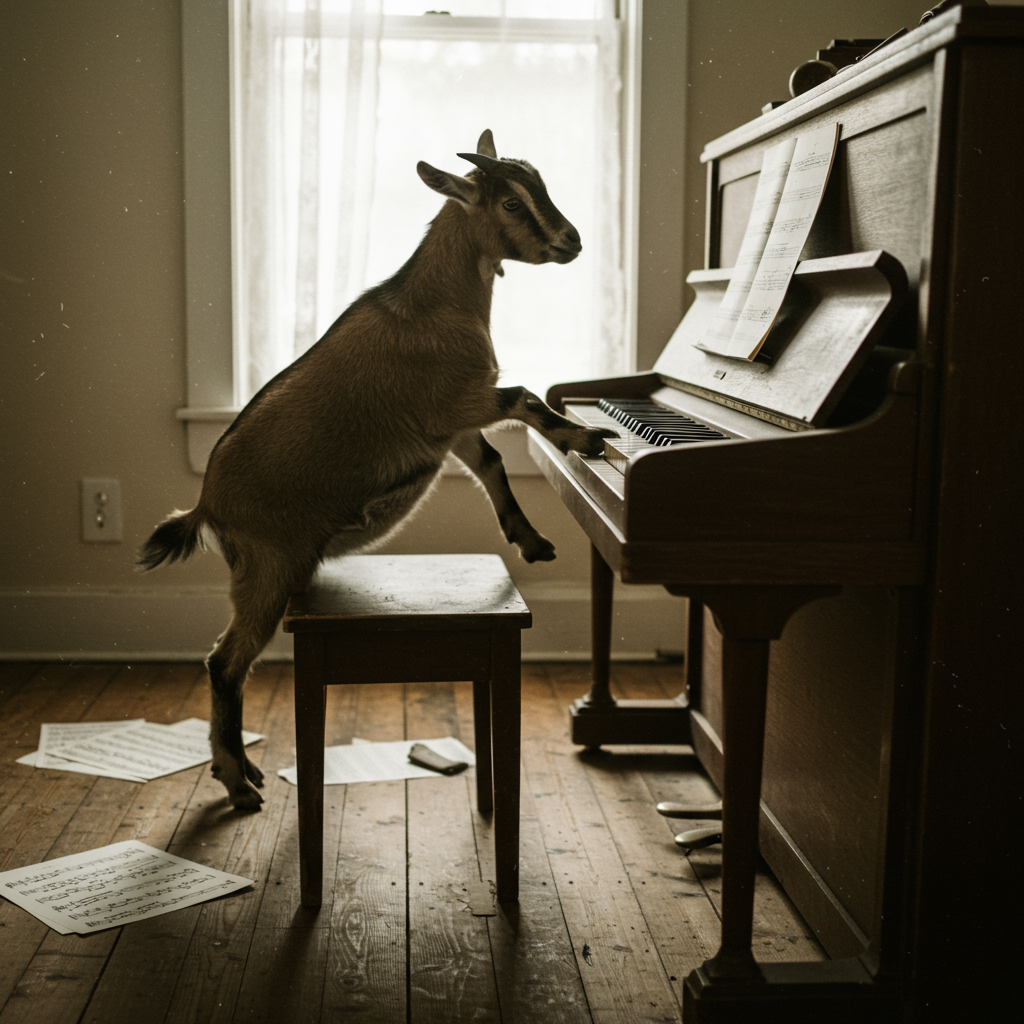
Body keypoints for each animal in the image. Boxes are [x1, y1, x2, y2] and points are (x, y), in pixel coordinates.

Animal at [140, 130, 618, 806]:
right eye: (511, 202)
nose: (572, 240)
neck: (436, 303)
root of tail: (207, 505)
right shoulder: (461, 402)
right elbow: (526, 400)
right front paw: (589, 437)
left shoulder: (455, 428)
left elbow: (493, 462)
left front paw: (531, 541)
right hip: (268, 567)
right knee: (224, 663)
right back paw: (238, 783)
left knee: (226, 663)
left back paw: (241, 771)